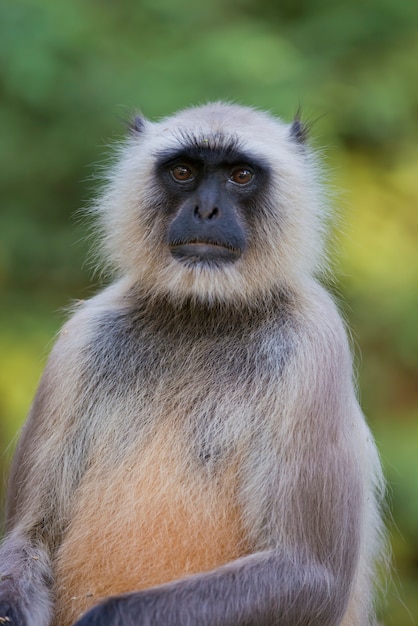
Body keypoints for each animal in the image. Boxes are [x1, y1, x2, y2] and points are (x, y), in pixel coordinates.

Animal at [0, 103, 386, 624]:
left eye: (240, 175)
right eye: (183, 172)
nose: (206, 210)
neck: (202, 315)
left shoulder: (315, 342)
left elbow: (311, 575)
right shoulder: (81, 340)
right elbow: (30, 534)